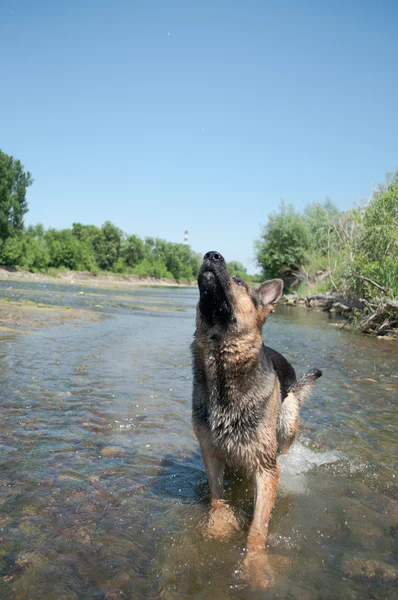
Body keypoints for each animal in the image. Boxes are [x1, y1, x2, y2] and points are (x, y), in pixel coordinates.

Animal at [191, 251, 322, 588]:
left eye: (239, 282)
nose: (211, 254)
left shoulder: (266, 469)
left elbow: (258, 527)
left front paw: (254, 564)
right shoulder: (210, 452)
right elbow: (217, 497)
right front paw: (218, 525)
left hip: (287, 421)